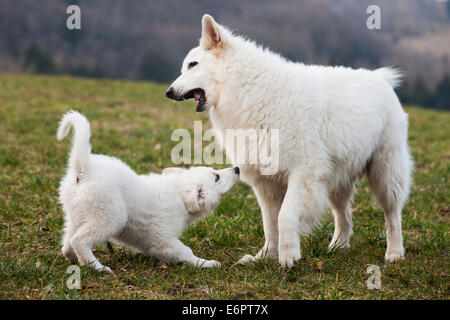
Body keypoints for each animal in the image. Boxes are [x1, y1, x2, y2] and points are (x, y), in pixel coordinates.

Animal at [56, 111, 239, 274]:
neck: (180, 195)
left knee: (68, 242)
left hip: (77, 216)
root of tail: (85, 169)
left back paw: (73, 258)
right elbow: (186, 251)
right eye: (216, 177)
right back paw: (97, 267)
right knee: (79, 240)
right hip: (109, 216)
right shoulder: (164, 240)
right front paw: (207, 263)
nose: (237, 168)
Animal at [165, 14, 412, 268]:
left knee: (392, 215)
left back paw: (394, 253)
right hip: (336, 180)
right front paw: (266, 256)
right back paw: (338, 247)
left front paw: (288, 255)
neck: (248, 89)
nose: (169, 92)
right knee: (344, 216)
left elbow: (285, 216)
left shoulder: (302, 175)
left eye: (192, 65)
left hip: (386, 174)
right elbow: (270, 224)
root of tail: (379, 77)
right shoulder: (266, 183)